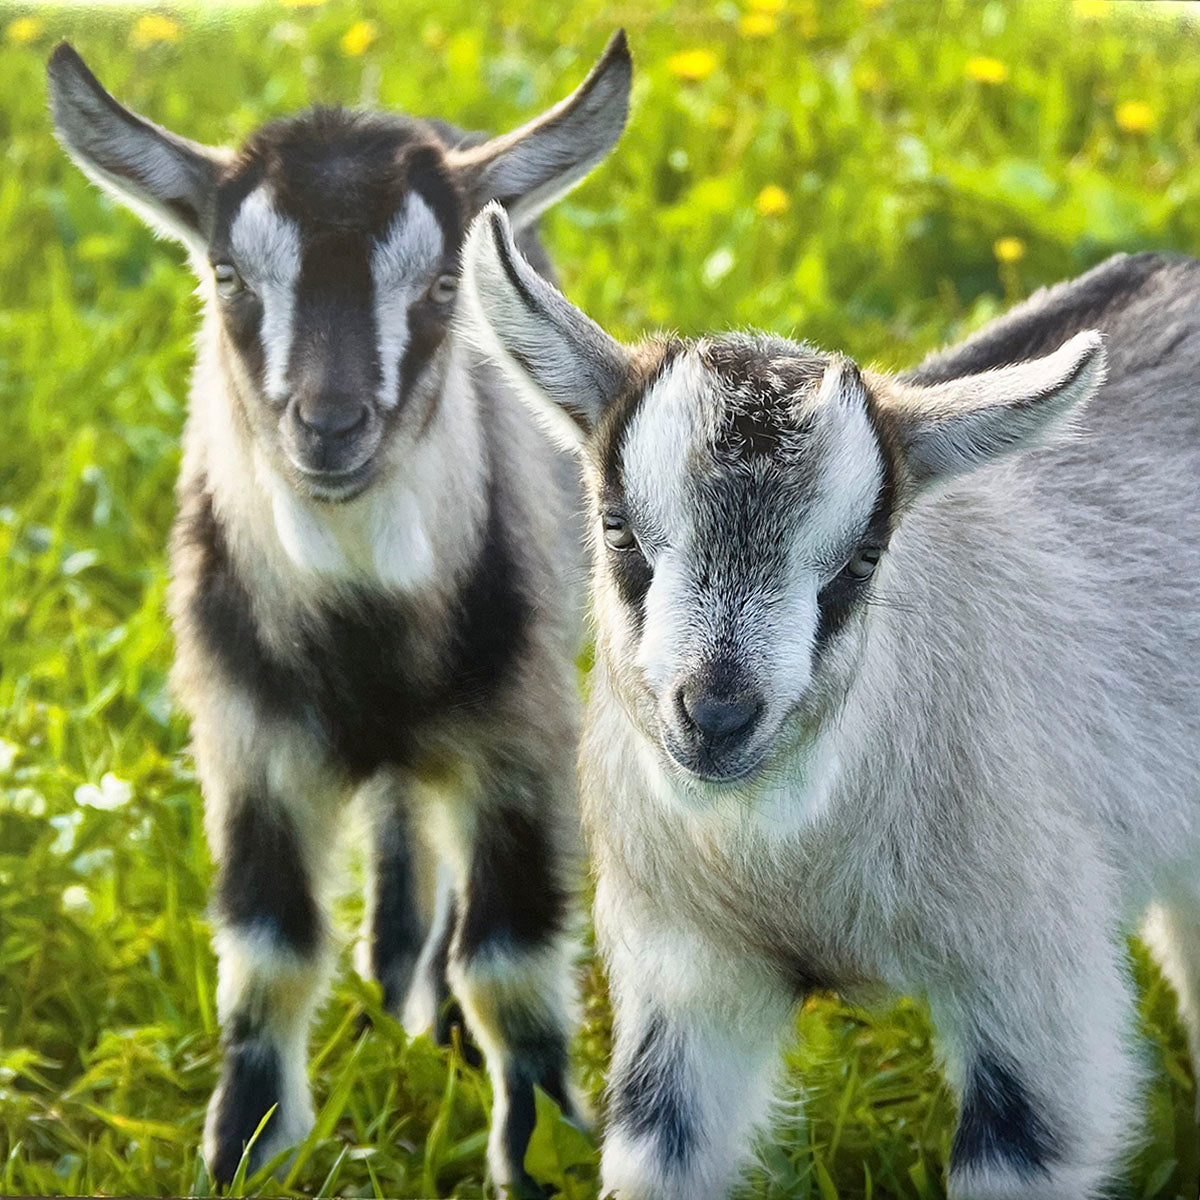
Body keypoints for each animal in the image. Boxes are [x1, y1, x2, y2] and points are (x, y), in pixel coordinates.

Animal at [47, 37, 631, 1194]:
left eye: (444, 283)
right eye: (228, 276)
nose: (329, 425)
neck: (364, 643)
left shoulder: (520, 735)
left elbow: (506, 960)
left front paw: (538, 1150)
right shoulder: (247, 742)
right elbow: (270, 954)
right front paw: (247, 1148)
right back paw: (396, 975)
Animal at [460, 204, 1200, 1200]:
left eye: (862, 560)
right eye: (616, 527)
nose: (717, 715)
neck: (790, 871)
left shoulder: (1035, 987)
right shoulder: (685, 973)